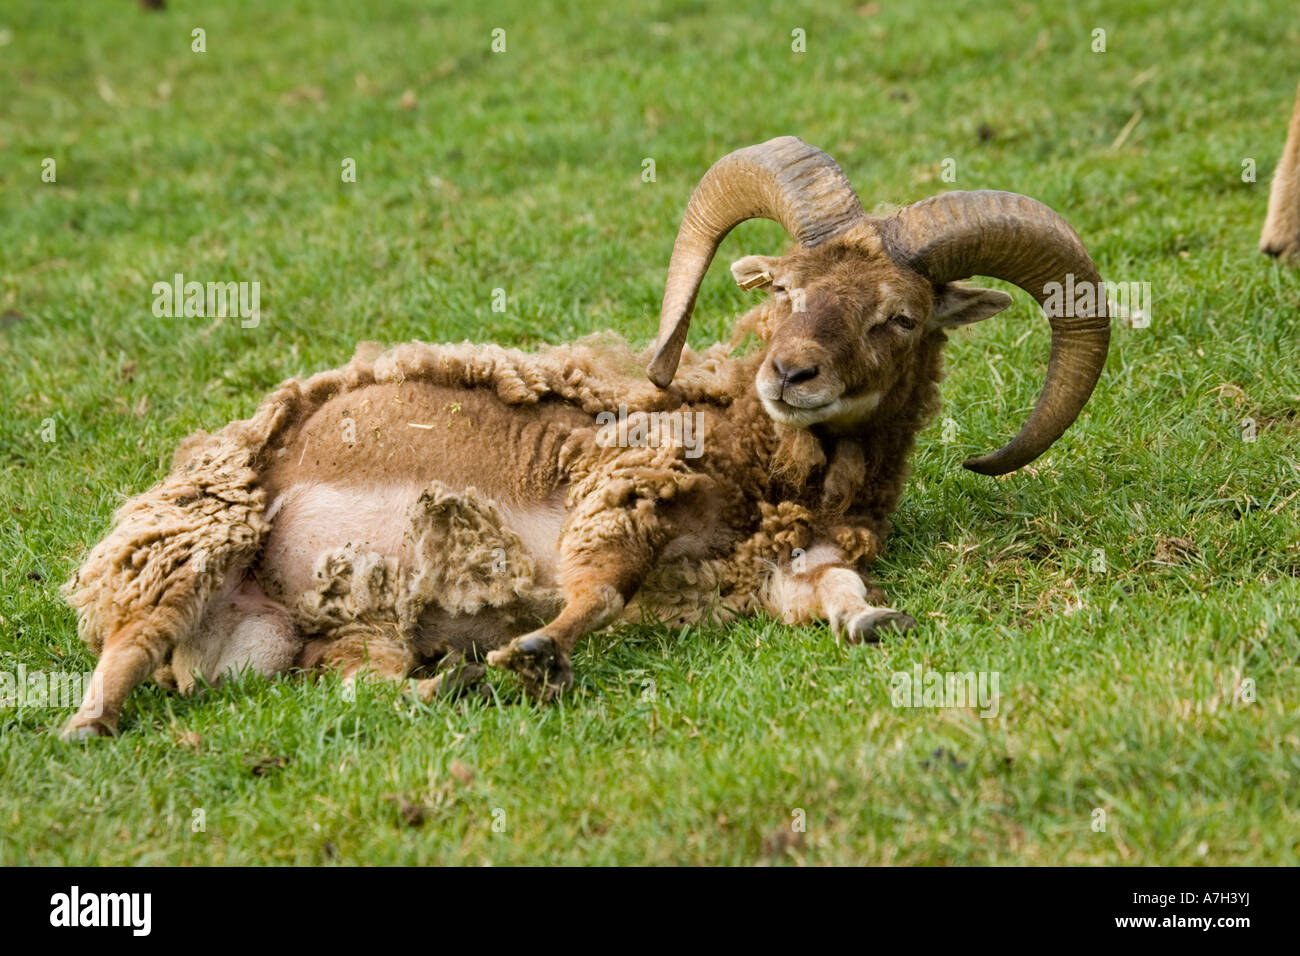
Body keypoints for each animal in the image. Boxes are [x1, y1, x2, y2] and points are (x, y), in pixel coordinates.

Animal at [61, 138, 1112, 738]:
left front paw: (873, 621)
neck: (756, 462)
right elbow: (599, 591)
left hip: (305, 635)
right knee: (133, 644)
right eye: (781, 289)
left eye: (899, 317)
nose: (791, 376)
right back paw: (87, 723)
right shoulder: (619, 496)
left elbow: (835, 594)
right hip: (198, 542)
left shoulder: (782, 561)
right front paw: (536, 649)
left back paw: (447, 684)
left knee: (351, 681)